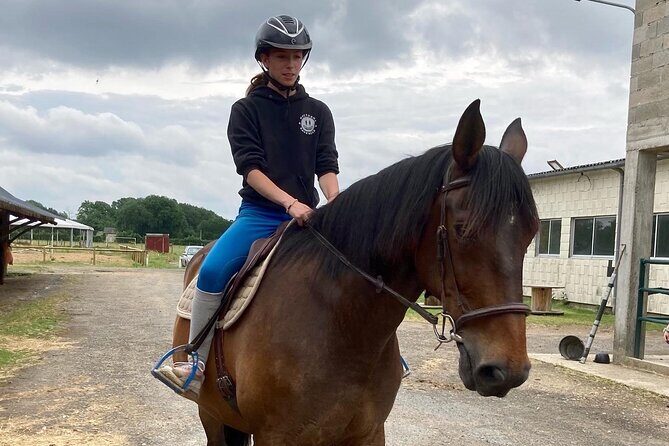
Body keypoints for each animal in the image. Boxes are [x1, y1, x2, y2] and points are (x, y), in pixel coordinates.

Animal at [169, 100, 539, 445]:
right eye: (462, 229)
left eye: (532, 232)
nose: (506, 371)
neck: (342, 322)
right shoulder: (276, 436)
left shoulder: (369, 432)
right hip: (212, 415)